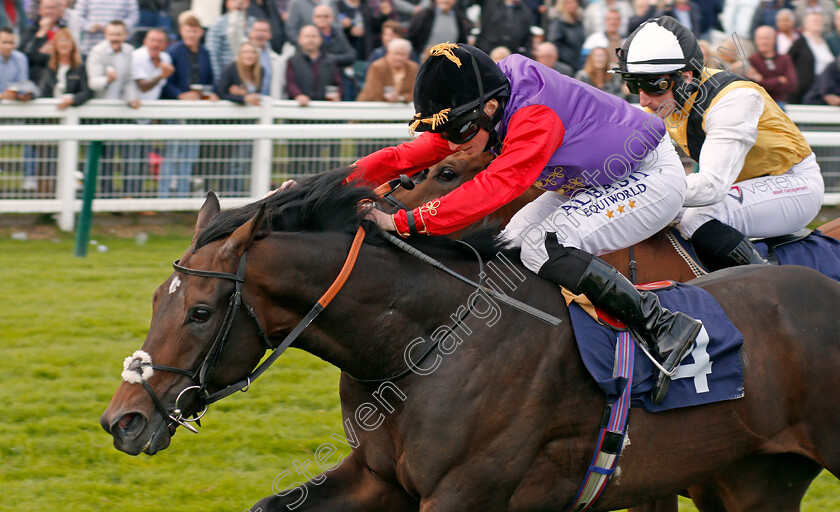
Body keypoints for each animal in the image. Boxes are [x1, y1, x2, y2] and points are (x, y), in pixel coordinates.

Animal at [101, 170, 840, 510]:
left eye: (199, 312)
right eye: (156, 300)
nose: (122, 420)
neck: (420, 345)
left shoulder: (465, 493)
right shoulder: (380, 478)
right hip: (753, 478)